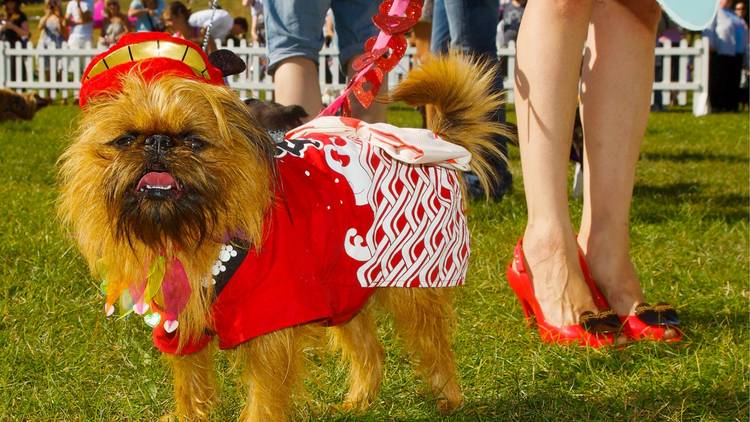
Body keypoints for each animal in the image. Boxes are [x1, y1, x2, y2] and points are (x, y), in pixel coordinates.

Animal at [57, 32, 506, 418]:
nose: (157, 142)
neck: (198, 233)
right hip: (343, 287)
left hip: (413, 284)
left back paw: (447, 397)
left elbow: (264, 397)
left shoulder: (270, 329)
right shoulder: (182, 325)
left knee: (434, 344)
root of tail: (438, 141)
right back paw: (359, 402)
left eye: (194, 141)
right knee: (370, 351)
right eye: (125, 139)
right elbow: (191, 385)